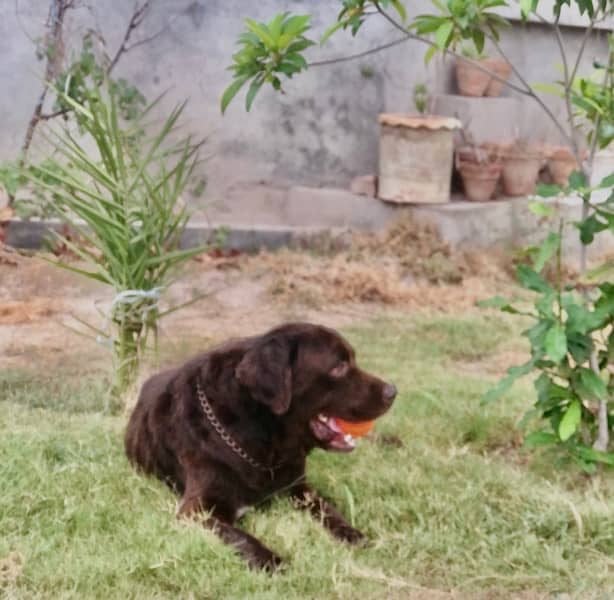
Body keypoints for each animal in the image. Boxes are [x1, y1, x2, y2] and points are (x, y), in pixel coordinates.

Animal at [125, 322, 400, 568]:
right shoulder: (197, 510)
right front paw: (273, 561)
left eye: (352, 359)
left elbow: (328, 511)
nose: (393, 391)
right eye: (339, 366)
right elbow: (240, 537)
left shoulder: (299, 487)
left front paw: (352, 534)